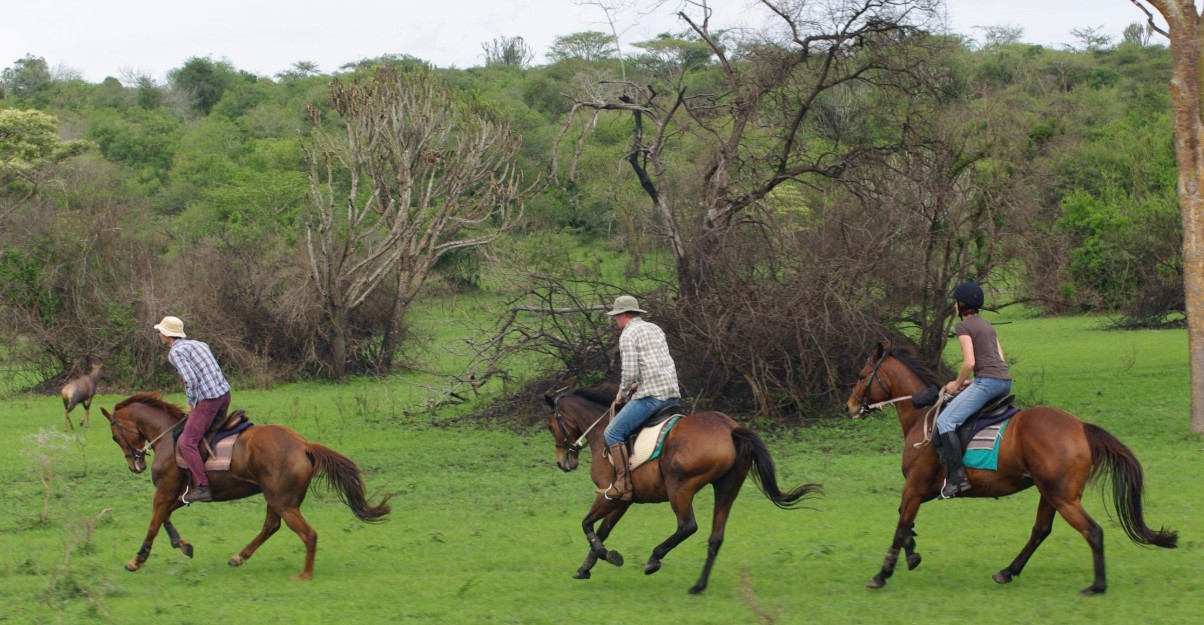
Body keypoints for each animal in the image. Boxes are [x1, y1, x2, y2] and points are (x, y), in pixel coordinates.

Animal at [100, 393, 391, 579]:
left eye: (114, 436)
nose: (135, 465)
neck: (167, 436)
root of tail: (303, 445)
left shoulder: (164, 492)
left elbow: (153, 524)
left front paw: (136, 560)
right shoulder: (177, 495)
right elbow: (166, 519)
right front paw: (182, 545)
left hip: (283, 502)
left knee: (308, 535)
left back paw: (305, 575)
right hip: (276, 499)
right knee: (271, 526)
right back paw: (239, 556)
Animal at [546, 382, 822, 594]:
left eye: (550, 426)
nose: (563, 462)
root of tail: (731, 429)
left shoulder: (608, 494)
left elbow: (587, 525)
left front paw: (609, 556)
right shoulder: (623, 500)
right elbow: (603, 530)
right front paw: (585, 567)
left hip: (680, 488)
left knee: (687, 526)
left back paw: (654, 559)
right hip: (726, 488)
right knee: (715, 537)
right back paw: (698, 586)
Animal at [845, 341, 1178, 595]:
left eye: (862, 375)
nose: (849, 407)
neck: (923, 417)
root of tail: (1080, 427)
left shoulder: (914, 487)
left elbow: (900, 526)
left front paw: (883, 574)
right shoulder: (922, 490)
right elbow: (905, 520)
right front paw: (912, 553)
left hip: (1062, 497)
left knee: (1092, 532)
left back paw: (1096, 586)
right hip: (1050, 493)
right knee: (1040, 531)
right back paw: (1007, 571)